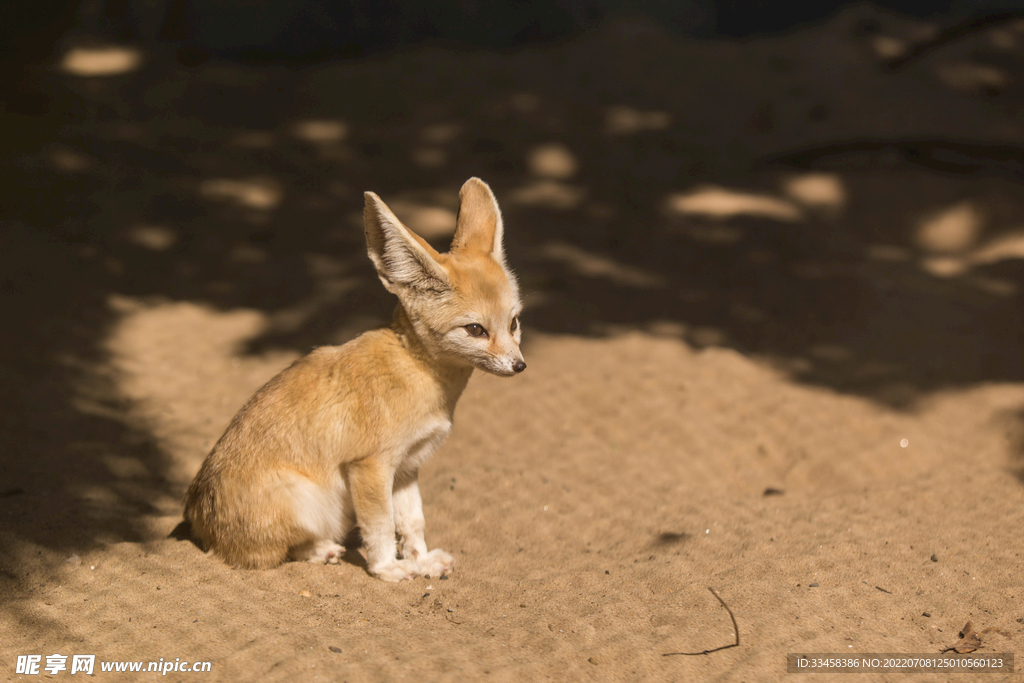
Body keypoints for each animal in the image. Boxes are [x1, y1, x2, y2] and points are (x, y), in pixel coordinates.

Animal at [182, 178, 528, 581]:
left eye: (514, 323)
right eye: (476, 330)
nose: (519, 365)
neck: (415, 369)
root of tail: (196, 517)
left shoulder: (407, 467)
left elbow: (413, 521)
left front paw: (421, 560)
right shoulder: (370, 466)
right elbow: (380, 526)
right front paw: (388, 568)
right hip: (308, 500)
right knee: (272, 552)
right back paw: (321, 550)